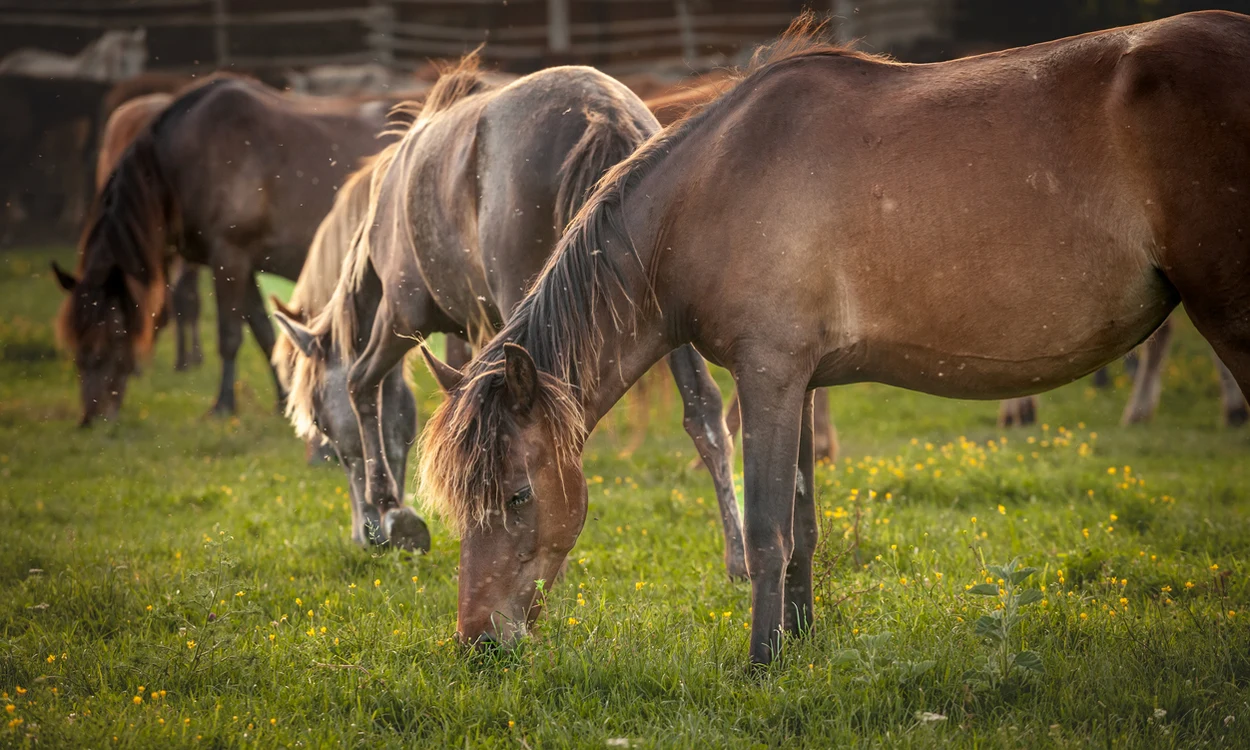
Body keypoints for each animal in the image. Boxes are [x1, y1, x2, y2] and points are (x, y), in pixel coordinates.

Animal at [52, 74, 396, 426]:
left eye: (108, 340)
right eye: (76, 348)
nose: (92, 418)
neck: (185, 158)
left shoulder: (229, 257)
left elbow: (230, 337)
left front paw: (223, 405)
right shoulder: (244, 263)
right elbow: (264, 332)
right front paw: (283, 401)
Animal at [273, 56, 744, 570]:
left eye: (322, 425)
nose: (366, 535)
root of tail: (602, 113)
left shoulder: (401, 316)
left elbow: (362, 384)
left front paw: (395, 512)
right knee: (703, 410)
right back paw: (739, 556)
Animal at [416, 11, 1250, 664]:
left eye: (518, 494)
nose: (477, 642)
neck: (712, 185)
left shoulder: (768, 375)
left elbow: (765, 531)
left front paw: (760, 662)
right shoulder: (802, 381)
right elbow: (804, 528)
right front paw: (800, 642)